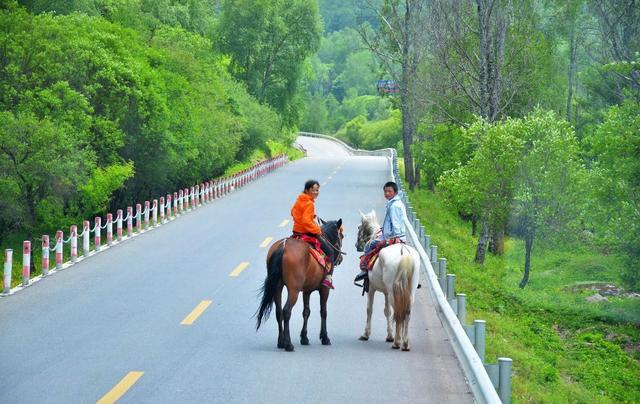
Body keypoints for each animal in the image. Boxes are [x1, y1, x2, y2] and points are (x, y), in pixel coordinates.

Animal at [255, 218, 344, 350]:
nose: (340, 259)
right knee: (286, 311)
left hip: (277, 286)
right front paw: (324, 337)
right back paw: (288, 344)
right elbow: (323, 312)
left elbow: (306, 312)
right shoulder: (324, 289)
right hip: (294, 289)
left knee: (279, 312)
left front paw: (304, 337)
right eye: (342, 236)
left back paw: (281, 342)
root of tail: (283, 246)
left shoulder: (306, 290)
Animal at [356, 211, 420, 350]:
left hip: (393, 291)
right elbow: (387, 311)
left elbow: (370, 309)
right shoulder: (385, 292)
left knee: (398, 312)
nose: (357, 245)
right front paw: (389, 335)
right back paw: (405, 342)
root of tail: (404, 253)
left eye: (359, 227)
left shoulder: (371, 288)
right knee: (406, 312)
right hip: (409, 290)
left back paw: (397, 342)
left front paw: (366, 334)